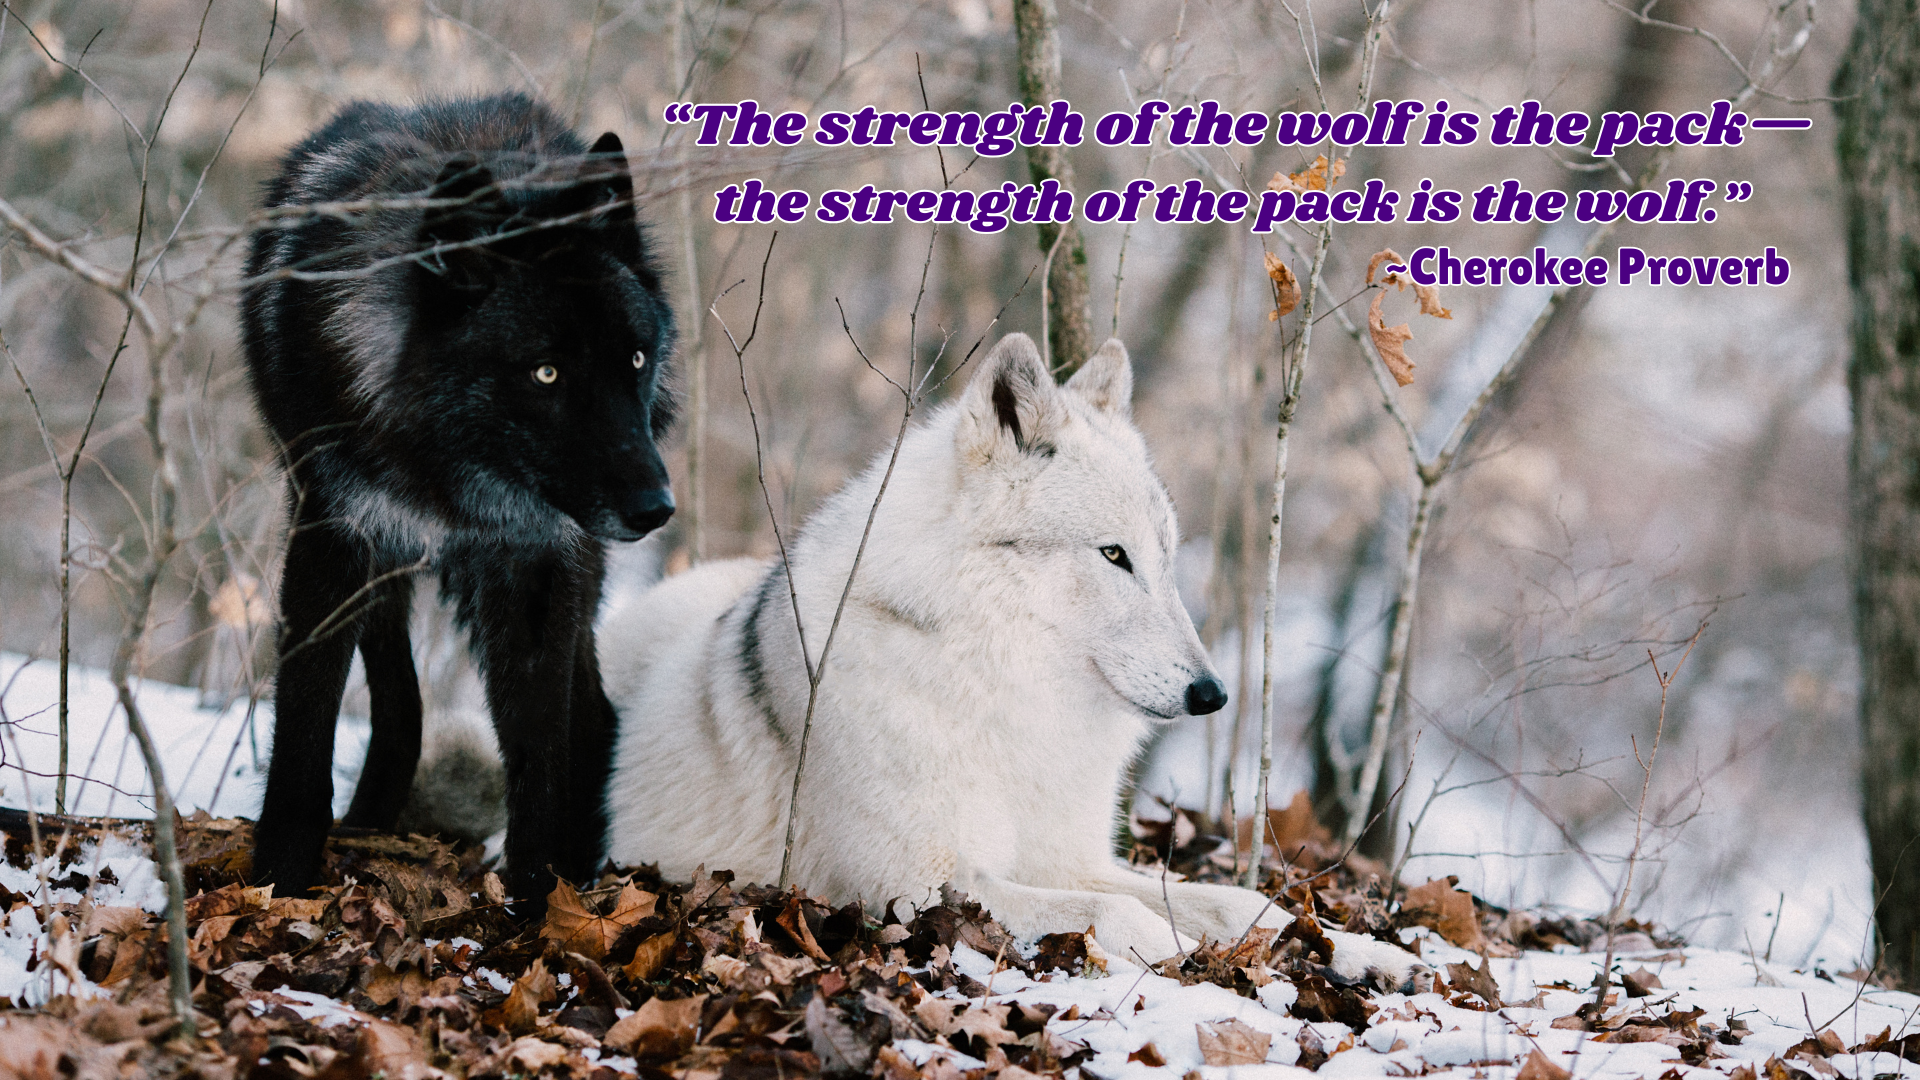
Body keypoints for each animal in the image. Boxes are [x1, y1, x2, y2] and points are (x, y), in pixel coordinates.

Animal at [240, 93, 675, 909]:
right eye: (545, 373)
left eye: (634, 359)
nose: (655, 508)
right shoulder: (334, 535)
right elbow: (307, 725)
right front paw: (280, 879)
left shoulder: (536, 564)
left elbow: (537, 750)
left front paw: (538, 904)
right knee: (399, 698)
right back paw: (372, 819)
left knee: (592, 716)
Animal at [595, 332, 1419, 981]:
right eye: (1113, 555)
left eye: (1166, 558)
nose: (1211, 693)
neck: (1004, 694)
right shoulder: (912, 885)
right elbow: (1120, 916)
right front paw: (1190, 956)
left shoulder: (1073, 860)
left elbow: (1241, 901)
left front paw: (1360, 950)